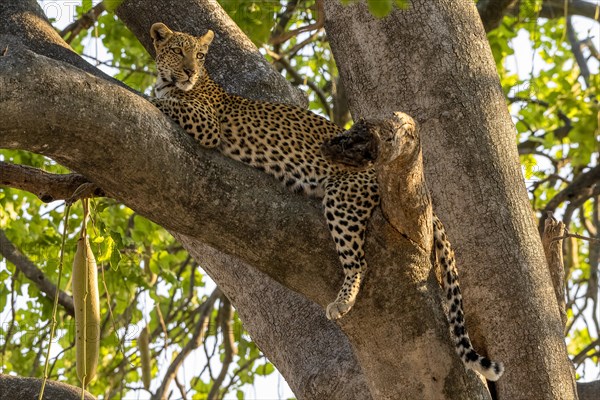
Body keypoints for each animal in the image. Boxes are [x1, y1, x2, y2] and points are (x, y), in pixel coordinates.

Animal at [148, 22, 504, 382]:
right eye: (178, 51)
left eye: (200, 55)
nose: (189, 71)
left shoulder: (207, 125)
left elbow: (169, 104)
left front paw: (151, 96)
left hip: (342, 198)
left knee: (358, 261)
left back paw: (342, 301)